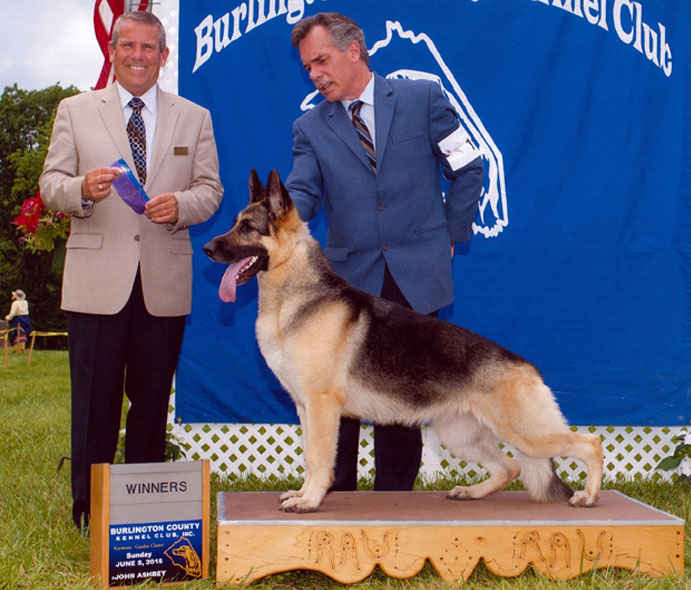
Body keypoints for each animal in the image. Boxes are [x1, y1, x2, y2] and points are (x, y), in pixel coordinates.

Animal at [203, 171, 604, 512]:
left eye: (247, 227)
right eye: (234, 223)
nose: (206, 248)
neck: (296, 291)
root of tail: (529, 369)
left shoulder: (322, 406)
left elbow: (319, 459)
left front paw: (311, 500)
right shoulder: (305, 408)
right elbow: (309, 456)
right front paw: (302, 494)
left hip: (527, 434)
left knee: (590, 445)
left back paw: (588, 496)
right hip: (463, 436)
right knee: (510, 467)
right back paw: (472, 492)